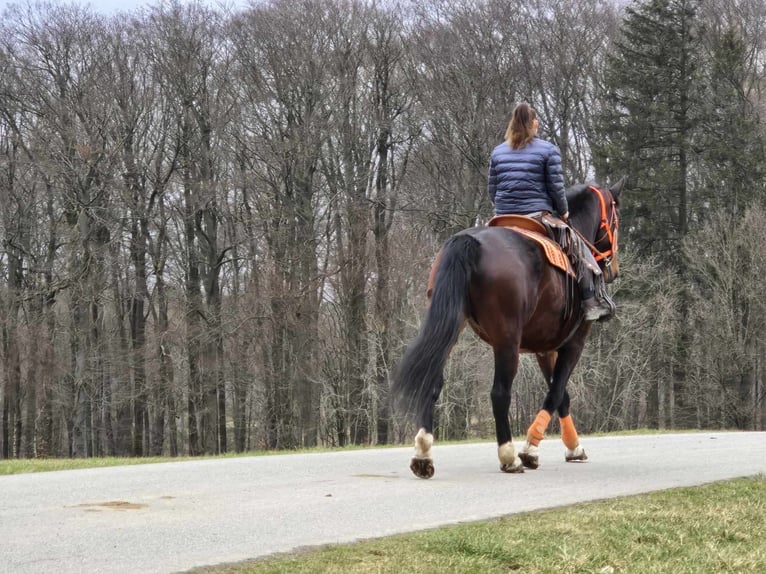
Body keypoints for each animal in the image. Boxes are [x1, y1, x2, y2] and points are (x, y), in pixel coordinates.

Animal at [390, 182, 624, 480]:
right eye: (617, 218)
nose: (613, 269)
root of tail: (469, 243)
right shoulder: (574, 343)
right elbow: (556, 392)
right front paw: (531, 450)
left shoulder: (545, 350)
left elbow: (562, 396)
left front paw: (573, 448)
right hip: (507, 341)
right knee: (500, 393)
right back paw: (509, 456)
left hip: (450, 328)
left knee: (432, 380)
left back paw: (423, 454)